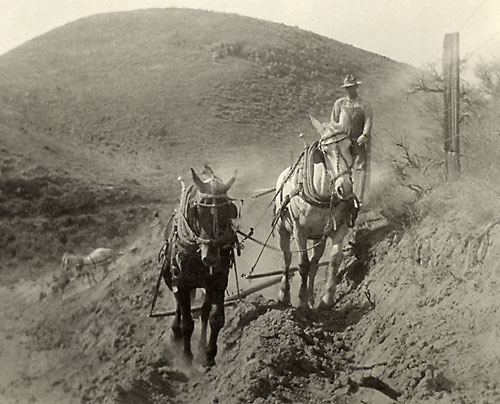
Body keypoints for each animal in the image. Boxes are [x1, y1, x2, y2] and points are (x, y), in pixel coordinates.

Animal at [161, 166, 237, 368]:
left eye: (227, 211)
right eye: (198, 212)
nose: (210, 257)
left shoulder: (219, 282)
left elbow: (215, 318)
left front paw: (209, 354)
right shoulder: (182, 284)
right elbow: (187, 323)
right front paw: (187, 358)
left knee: (204, 311)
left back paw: (202, 345)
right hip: (171, 277)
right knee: (180, 307)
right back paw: (176, 333)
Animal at [274, 115, 356, 308]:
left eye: (350, 146)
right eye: (325, 152)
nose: (345, 188)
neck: (322, 195)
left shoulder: (338, 230)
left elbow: (333, 261)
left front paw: (326, 299)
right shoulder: (300, 232)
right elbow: (302, 264)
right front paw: (302, 301)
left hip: (318, 238)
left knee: (315, 262)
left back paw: (312, 298)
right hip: (282, 230)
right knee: (287, 258)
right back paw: (284, 295)